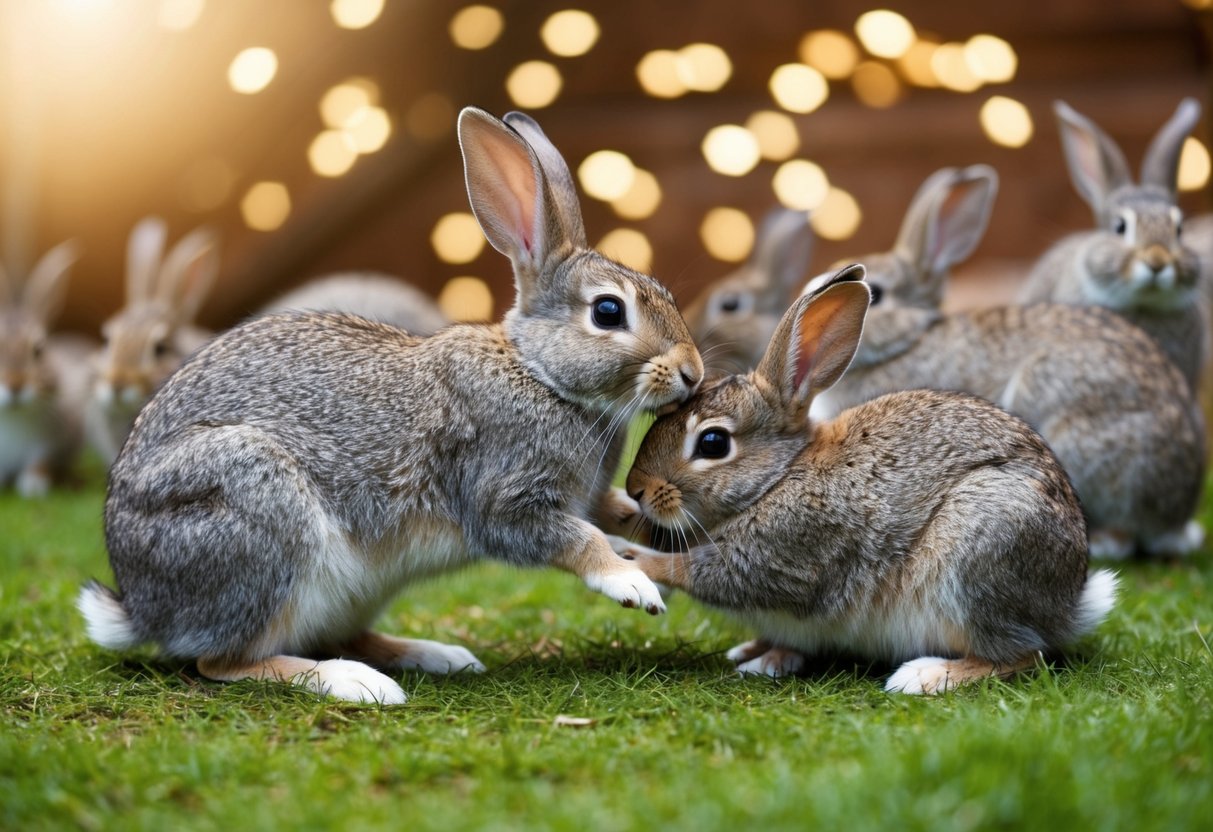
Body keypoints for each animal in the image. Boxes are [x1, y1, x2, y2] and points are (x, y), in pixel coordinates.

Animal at [613, 265, 1118, 694]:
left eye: (713, 443)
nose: (636, 488)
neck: (778, 478)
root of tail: (1070, 604)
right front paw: (762, 655)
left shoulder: (787, 554)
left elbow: (700, 571)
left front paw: (635, 557)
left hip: (980, 551)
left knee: (1022, 655)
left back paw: (925, 676)